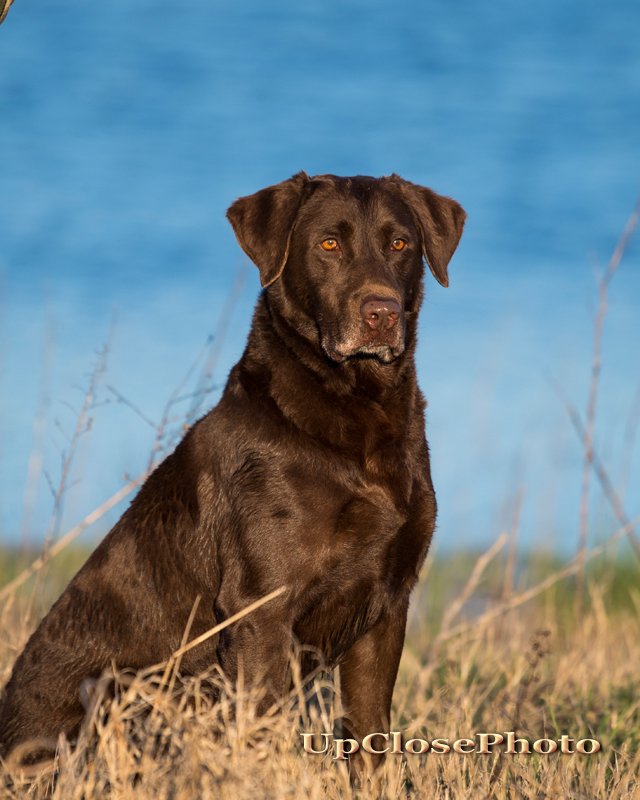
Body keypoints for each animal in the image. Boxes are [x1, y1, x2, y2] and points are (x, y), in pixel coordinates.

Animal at [0, 173, 462, 764]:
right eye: (329, 244)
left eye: (400, 243)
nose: (381, 313)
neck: (358, 413)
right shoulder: (260, 609)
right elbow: (260, 739)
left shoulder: (386, 607)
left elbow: (370, 741)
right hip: (121, 693)